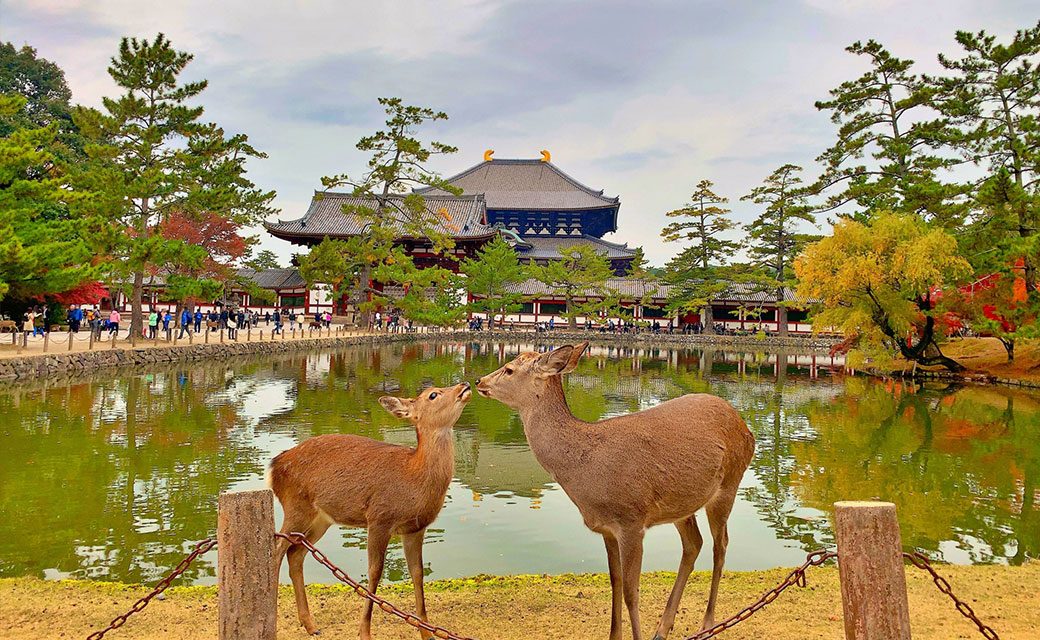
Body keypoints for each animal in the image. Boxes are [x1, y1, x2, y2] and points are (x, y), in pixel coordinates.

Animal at [269, 381, 472, 638]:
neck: (413, 477)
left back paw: (311, 625)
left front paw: (427, 632)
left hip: (320, 519)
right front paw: (364, 631)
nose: (464, 384)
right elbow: (375, 572)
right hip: (295, 506)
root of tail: (273, 468)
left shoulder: (415, 529)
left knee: (295, 553)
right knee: (277, 550)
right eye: (433, 395)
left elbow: (417, 573)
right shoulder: (379, 518)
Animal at [476, 343, 754, 640]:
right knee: (694, 544)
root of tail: (747, 430)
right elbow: (615, 582)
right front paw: (614, 634)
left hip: (729, 484)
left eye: (509, 369)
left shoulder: (632, 520)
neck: (586, 472)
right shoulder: (607, 528)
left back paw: (708, 623)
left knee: (720, 545)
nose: (479, 381)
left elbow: (632, 591)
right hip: (682, 504)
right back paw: (663, 628)